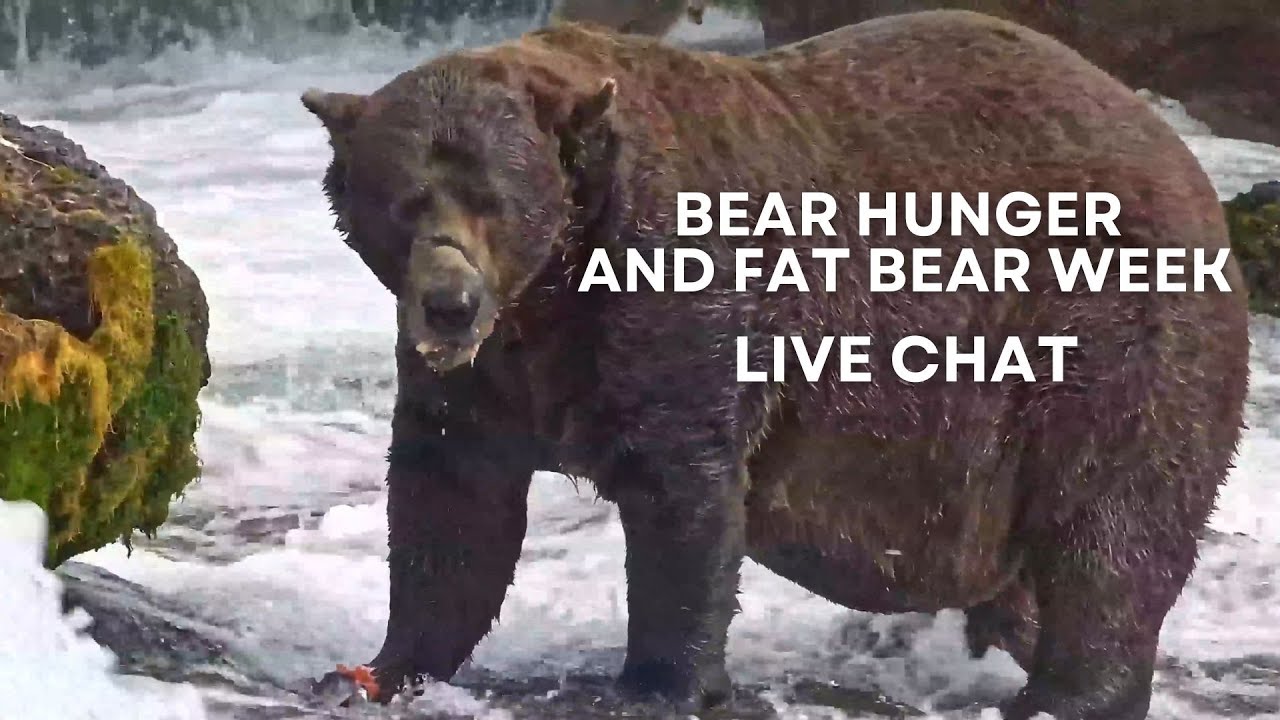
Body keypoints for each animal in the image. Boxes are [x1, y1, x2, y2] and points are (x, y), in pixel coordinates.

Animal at [299, 10, 1250, 720]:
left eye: (492, 200)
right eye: (404, 200)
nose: (449, 302)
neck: (553, 296)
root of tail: (1178, 152)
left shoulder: (676, 305)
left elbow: (683, 495)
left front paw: (655, 684)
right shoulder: (488, 378)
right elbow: (452, 502)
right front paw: (379, 670)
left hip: (1104, 327)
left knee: (1114, 523)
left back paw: (1065, 693)